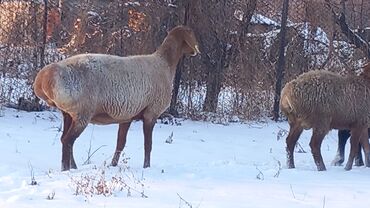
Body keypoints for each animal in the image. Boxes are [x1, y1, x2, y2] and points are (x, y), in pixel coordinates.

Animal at [33, 25, 201, 171]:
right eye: (192, 34)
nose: (196, 51)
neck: (165, 64)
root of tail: (44, 78)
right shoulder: (151, 113)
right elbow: (148, 145)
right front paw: (146, 167)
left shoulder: (127, 116)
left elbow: (120, 143)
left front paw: (113, 165)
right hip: (82, 113)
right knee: (68, 140)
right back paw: (67, 169)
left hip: (67, 113)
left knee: (64, 139)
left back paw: (71, 167)